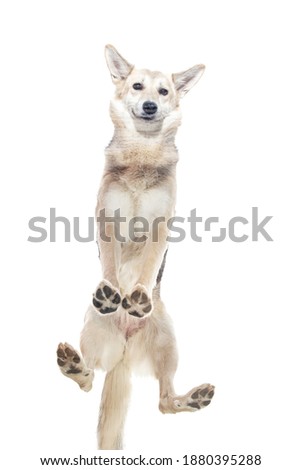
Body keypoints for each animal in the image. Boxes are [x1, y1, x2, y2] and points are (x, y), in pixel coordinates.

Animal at [56, 45, 213, 452]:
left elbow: (146, 266)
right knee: (89, 379)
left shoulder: (161, 225)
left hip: (169, 344)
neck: (143, 150)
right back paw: (75, 361)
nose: (149, 106)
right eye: (138, 86)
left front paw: (138, 292)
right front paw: (112, 289)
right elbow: (111, 264)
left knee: (164, 402)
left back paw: (193, 398)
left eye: (164, 91)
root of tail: (125, 349)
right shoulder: (106, 219)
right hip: (92, 332)